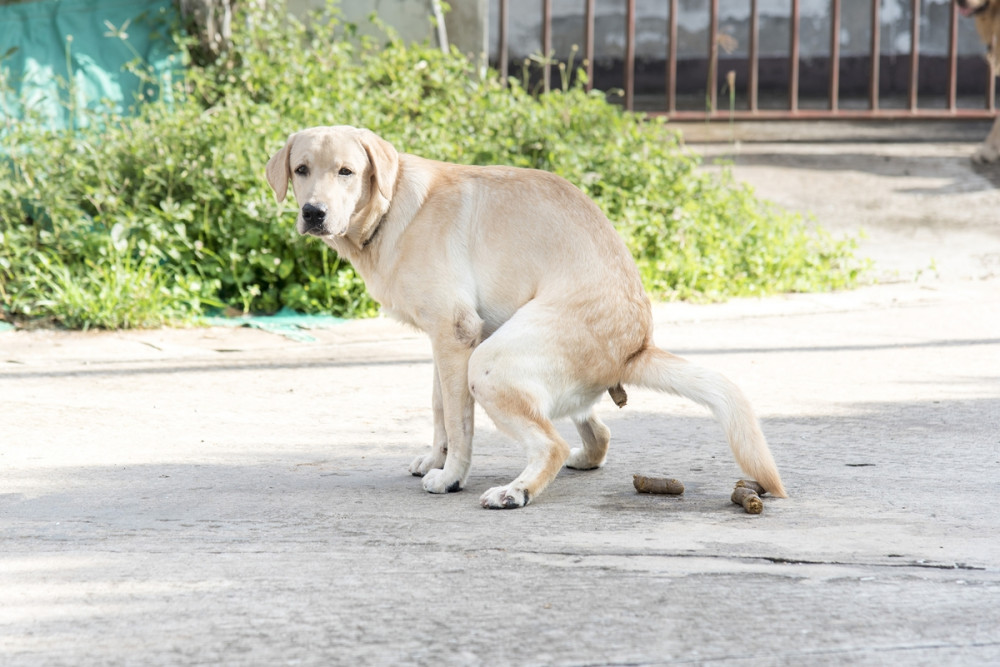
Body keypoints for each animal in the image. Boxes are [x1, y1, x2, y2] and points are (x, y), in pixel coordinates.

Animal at [268, 128, 788, 508]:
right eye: (301, 170)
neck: (392, 209)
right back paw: (575, 459)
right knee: (597, 435)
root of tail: (636, 346)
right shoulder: (441, 342)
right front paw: (434, 458)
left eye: (347, 172)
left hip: (488, 364)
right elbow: (439, 410)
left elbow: (458, 424)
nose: (313, 213)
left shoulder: (456, 335)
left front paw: (451, 476)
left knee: (550, 444)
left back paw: (515, 491)